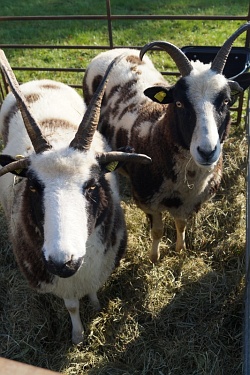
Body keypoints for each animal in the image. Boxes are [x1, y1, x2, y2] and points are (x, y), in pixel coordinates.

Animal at [0, 51, 150, 346]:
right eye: (33, 187)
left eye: (92, 185)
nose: (63, 261)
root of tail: (39, 80)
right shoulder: (63, 283)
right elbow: (71, 307)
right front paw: (78, 336)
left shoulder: (100, 265)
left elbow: (93, 291)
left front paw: (96, 307)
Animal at [83, 22, 250, 264]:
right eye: (179, 103)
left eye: (226, 101)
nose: (207, 152)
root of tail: (114, 51)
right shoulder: (147, 202)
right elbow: (157, 231)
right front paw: (154, 257)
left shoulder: (190, 203)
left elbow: (180, 225)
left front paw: (180, 249)